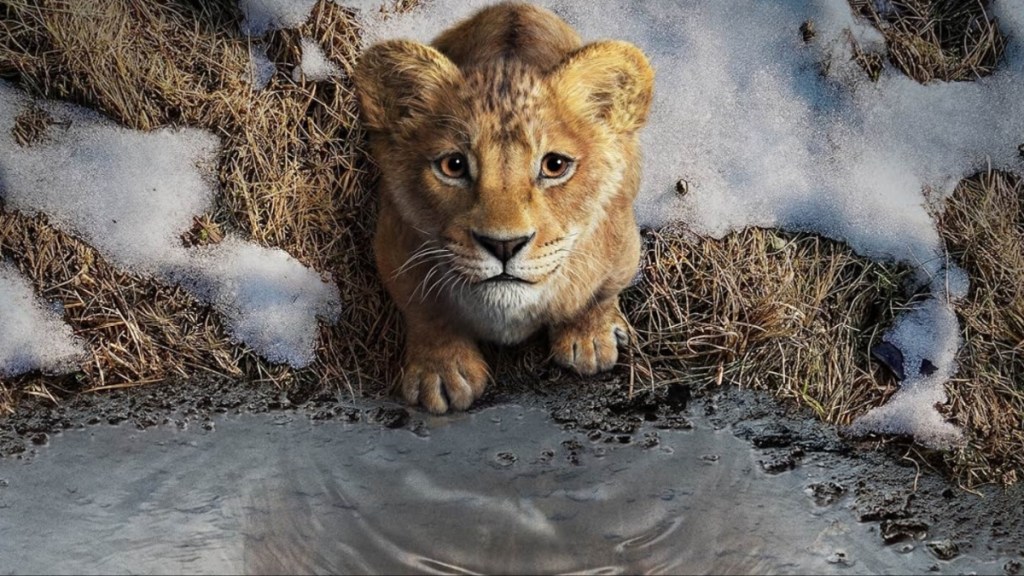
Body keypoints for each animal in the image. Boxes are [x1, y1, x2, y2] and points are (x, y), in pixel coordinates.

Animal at [354, 2, 654, 413]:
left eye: (555, 165)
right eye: (453, 166)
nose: (504, 245)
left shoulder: (622, 245)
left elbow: (599, 294)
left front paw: (590, 339)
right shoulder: (394, 244)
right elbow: (425, 310)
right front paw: (441, 372)